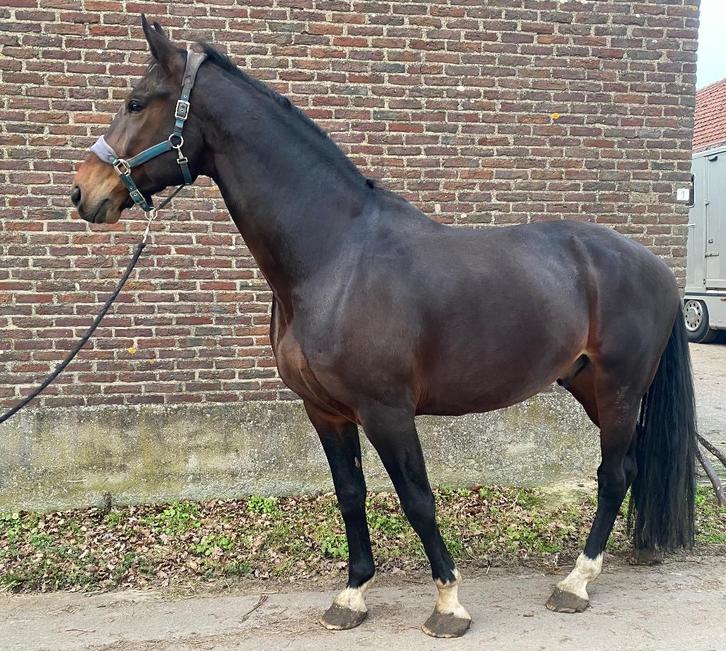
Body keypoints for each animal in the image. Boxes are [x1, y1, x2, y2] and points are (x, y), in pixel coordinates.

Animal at [71, 17, 696, 638]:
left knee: (612, 474)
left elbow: (417, 498)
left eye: (136, 102)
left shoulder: (387, 412)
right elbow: (350, 495)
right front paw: (351, 595)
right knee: (630, 467)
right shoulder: (325, 412)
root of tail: (654, 265)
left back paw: (575, 583)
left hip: (618, 388)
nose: (84, 191)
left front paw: (448, 604)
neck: (334, 256)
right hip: (587, 385)